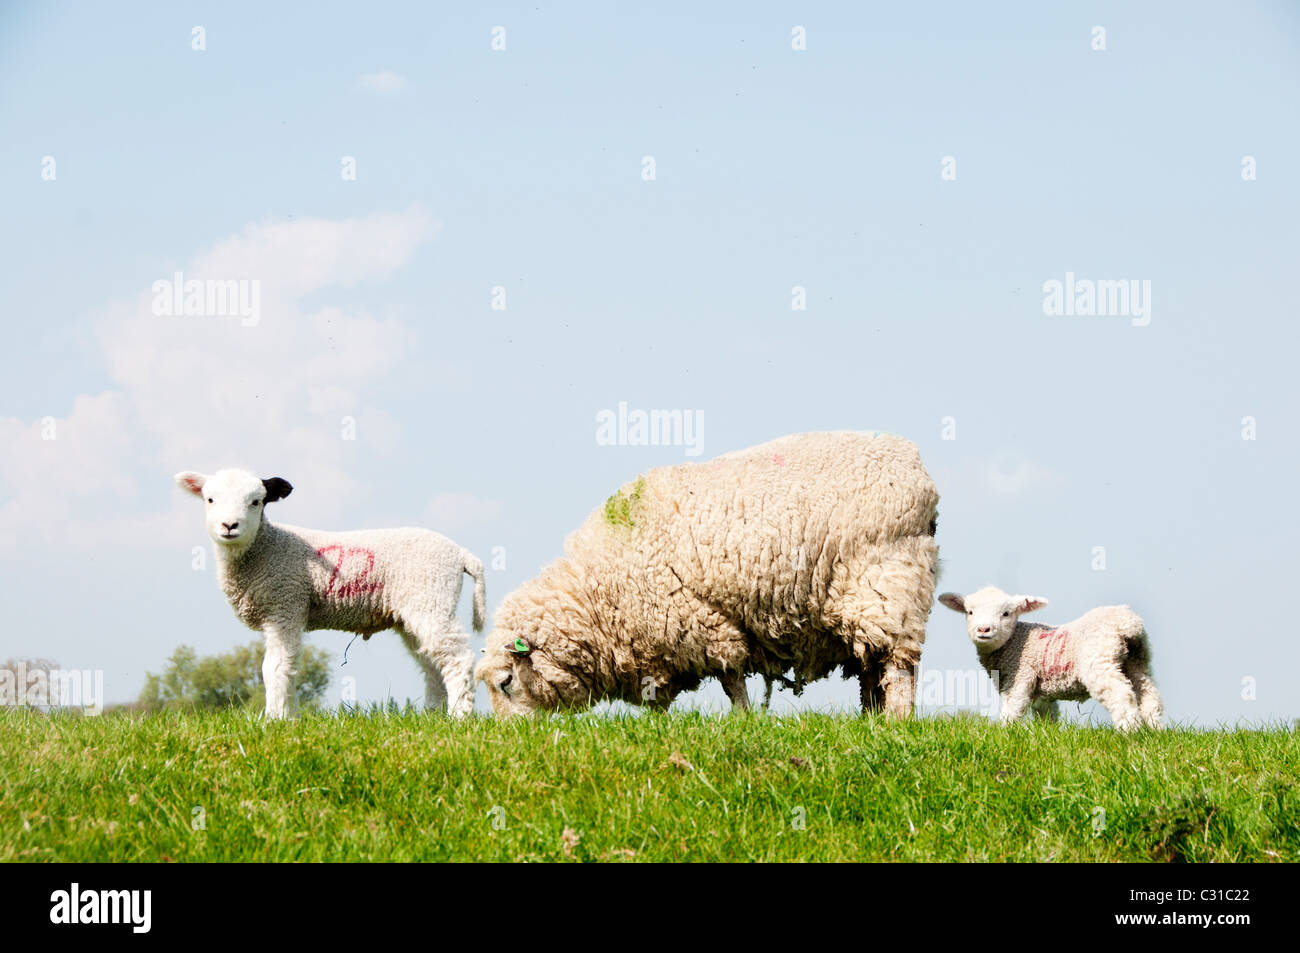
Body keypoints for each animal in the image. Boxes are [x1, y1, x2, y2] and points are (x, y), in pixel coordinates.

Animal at [174, 468, 485, 718]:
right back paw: (434, 715)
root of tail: (462, 555)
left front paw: (274, 719)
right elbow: (289, 665)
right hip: (416, 610)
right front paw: (290, 718)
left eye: (256, 502)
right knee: (432, 664)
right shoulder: (285, 608)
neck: (266, 548)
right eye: (209, 500)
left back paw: (459, 717)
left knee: (457, 658)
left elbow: (274, 667)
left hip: (431, 597)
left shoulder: (284, 603)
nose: (229, 526)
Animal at [475, 431, 940, 717]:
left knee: (899, 669)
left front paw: (745, 720)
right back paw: (871, 721)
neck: (596, 595)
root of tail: (915, 466)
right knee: (871, 668)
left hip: (889, 585)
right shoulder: (660, 645)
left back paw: (897, 722)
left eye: (505, 682)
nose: (510, 737)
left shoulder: (700, 625)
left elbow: (732, 682)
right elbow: (660, 699)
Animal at [936, 586, 1162, 730]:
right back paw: (1154, 731)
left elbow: (1013, 709)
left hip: (1099, 660)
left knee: (1121, 694)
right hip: (1138, 660)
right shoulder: (1041, 691)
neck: (1014, 641)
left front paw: (1004, 733)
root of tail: (1128, 623)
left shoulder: (1021, 677)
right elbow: (1047, 715)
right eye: (970, 612)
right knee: (1149, 695)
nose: (983, 629)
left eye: (1006, 613)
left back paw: (1129, 731)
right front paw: (1047, 734)